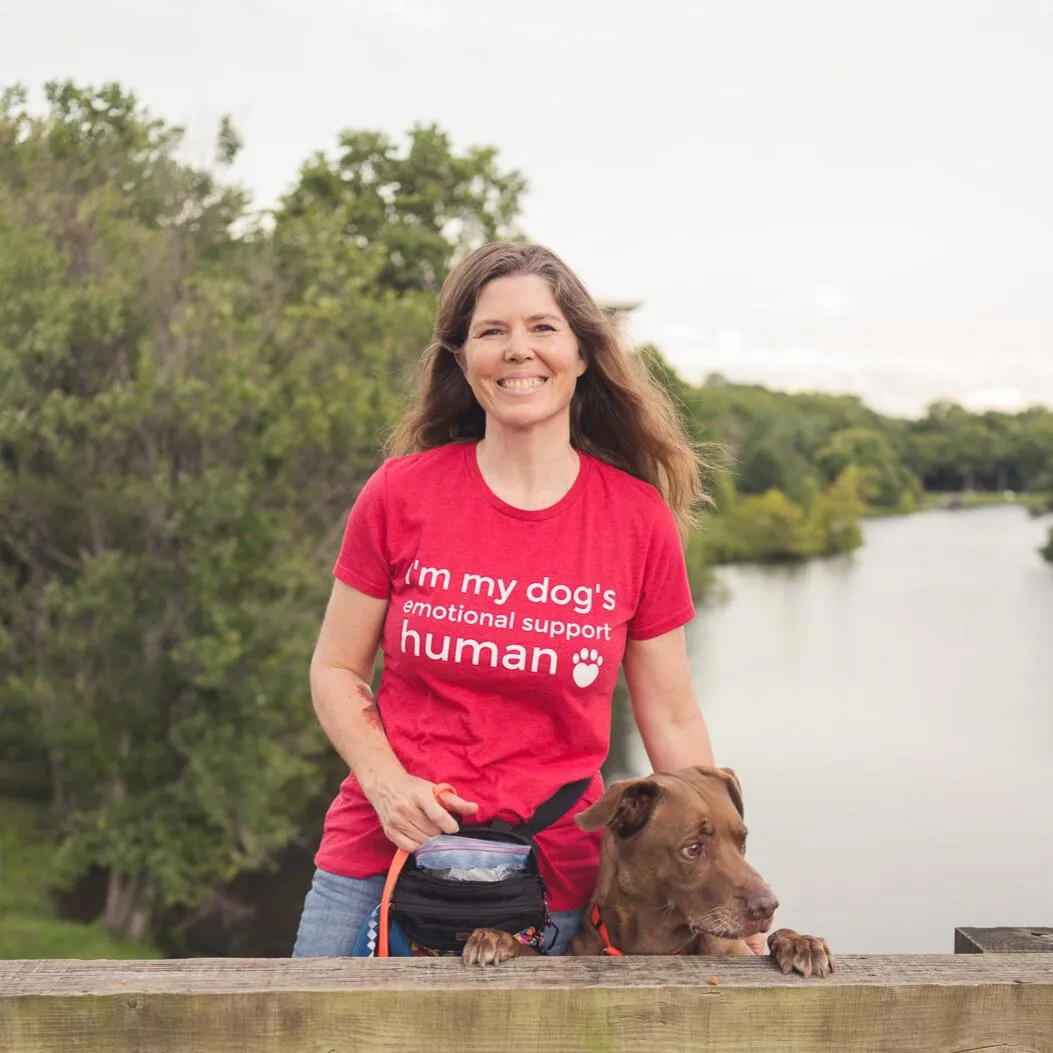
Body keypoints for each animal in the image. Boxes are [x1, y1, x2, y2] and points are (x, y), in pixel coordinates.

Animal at [461, 766, 829, 977]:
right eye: (693, 848)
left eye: (742, 839)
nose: (767, 907)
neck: (657, 945)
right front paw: (497, 939)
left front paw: (801, 942)